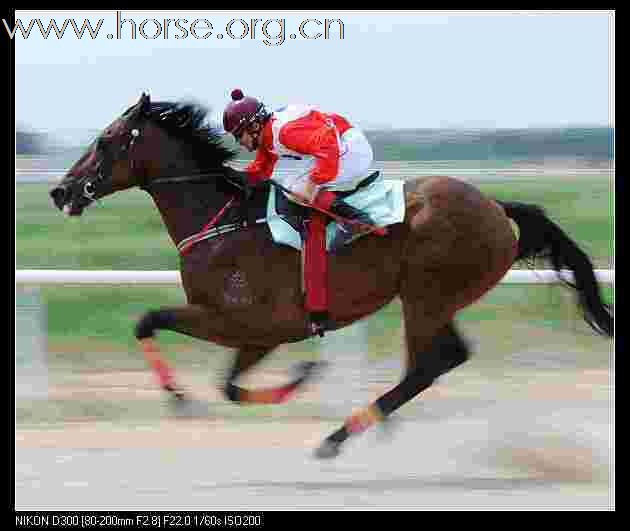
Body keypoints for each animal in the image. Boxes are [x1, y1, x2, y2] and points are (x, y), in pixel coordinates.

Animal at [50, 93, 616, 460]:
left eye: (106, 140)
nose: (61, 191)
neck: (223, 220)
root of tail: (499, 210)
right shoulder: (256, 333)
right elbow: (224, 382)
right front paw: (298, 377)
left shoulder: (248, 323)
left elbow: (154, 324)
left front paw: (183, 398)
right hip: (433, 298)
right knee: (440, 358)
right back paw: (363, 427)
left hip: (426, 294)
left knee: (431, 363)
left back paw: (338, 437)